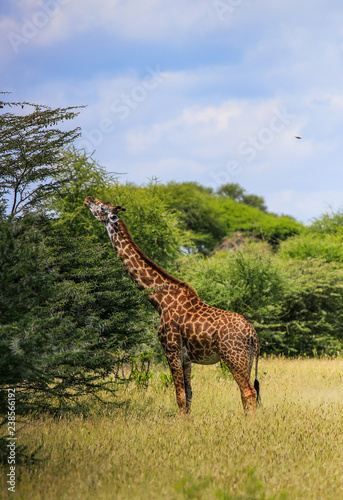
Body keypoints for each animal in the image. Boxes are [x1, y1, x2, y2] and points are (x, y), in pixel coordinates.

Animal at [84, 197, 260, 416]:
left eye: (102, 207)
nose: (88, 199)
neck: (160, 301)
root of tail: (252, 334)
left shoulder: (171, 349)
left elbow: (180, 396)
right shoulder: (186, 358)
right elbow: (190, 395)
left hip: (233, 357)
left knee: (249, 392)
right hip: (247, 359)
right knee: (246, 394)